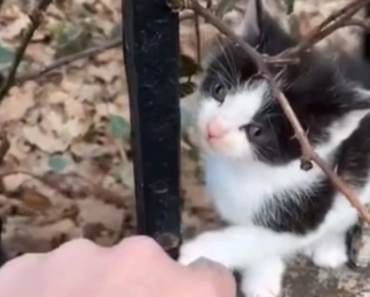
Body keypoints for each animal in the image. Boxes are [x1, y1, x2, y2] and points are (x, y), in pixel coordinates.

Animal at [179, 0, 370, 296]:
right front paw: (262, 276)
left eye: (258, 131)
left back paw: (329, 247)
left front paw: (197, 251)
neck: (249, 170)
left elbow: (259, 238)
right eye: (220, 91)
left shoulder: (308, 207)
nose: (213, 129)